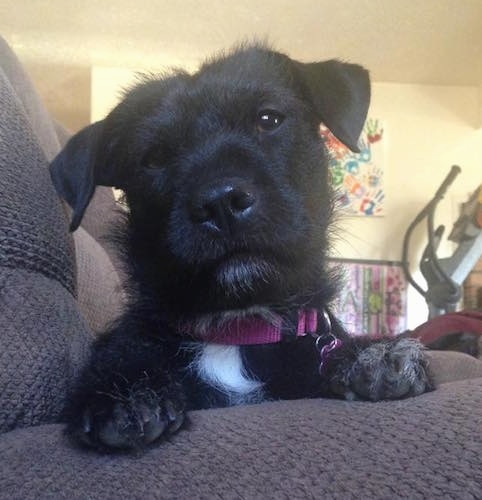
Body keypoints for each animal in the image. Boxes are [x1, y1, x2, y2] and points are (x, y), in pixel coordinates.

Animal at [50, 42, 434, 450]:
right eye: (152, 158)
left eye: (268, 119)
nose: (220, 202)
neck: (235, 329)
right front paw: (124, 395)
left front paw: (371, 356)